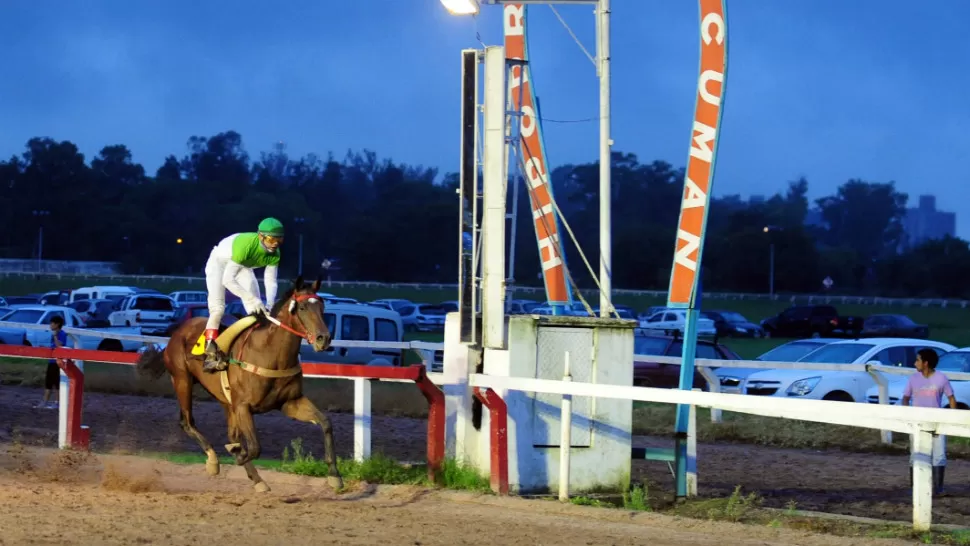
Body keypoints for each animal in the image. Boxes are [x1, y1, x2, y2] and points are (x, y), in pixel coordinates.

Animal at [138, 274, 342, 490]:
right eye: (302, 308)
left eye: (322, 306)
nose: (323, 338)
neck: (270, 354)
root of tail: (178, 331)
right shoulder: (243, 406)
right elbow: (253, 448)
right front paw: (235, 455)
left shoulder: (289, 402)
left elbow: (325, 423)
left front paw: (334, 475)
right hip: (182, 380)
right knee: (187, 422)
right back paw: (213, 461)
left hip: (225, 400)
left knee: (231, 434)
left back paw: (256, 478)